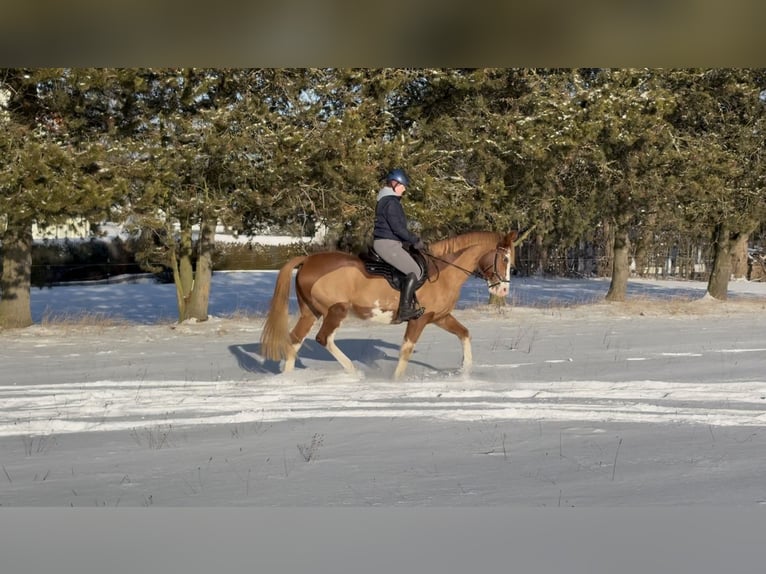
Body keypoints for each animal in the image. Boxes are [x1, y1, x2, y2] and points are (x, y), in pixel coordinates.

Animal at [259, 230, 519, 380]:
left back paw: (288, 379)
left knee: (295, 340)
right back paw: (354, 371)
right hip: (336, 311)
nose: (503, 290)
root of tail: (307, 260)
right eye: (505, 258)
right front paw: (395, 381)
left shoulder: (440, 317)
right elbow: (406, 350)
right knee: (324, 339)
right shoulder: (419, 319)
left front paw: (465, 372)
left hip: (310, 312)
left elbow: (464, 334)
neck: (442, 272)